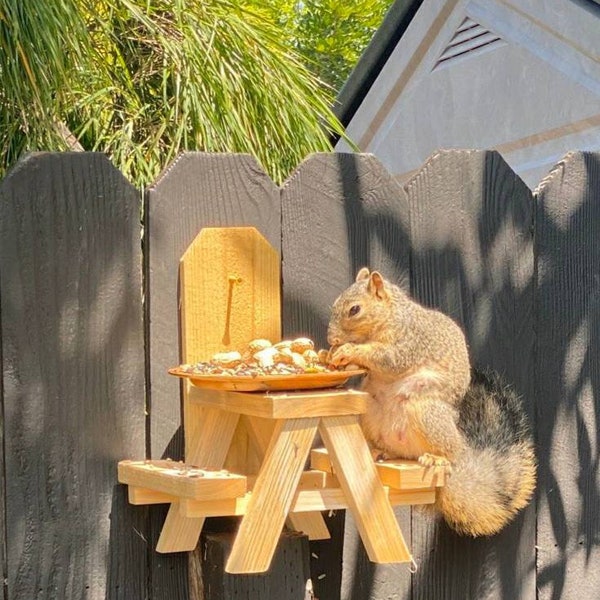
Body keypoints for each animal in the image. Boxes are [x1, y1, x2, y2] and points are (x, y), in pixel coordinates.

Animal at [326, 268, 536, 536]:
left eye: (355, 310)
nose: (331, 339)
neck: (392, 316)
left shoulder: (408, 343)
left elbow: (388, 359)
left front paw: (349, 351)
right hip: (370, 411)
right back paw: (378, 450)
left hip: (428, 413)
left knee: (451, 451)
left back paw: (439, 459)